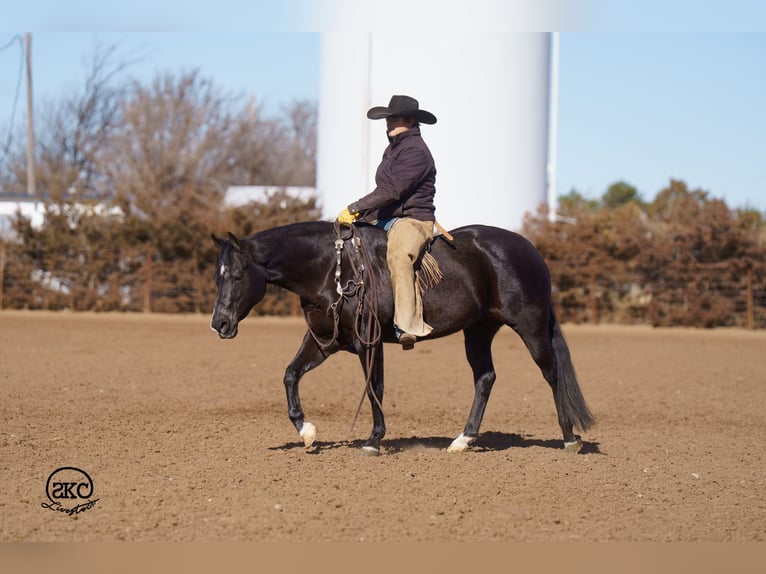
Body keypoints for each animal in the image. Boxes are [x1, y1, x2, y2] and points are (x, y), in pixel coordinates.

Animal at [210, 220, 594, 455]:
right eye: (218, 275)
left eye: (239, 275)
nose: (219, 324)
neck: (333, 269)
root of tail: (530, 250)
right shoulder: (323, 342)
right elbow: (290, 374)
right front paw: (306, 431)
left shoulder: (369, 341)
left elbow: (374, 387)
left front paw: (373, 440)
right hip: (478, 331)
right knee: (485, 378)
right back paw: (463, 439)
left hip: (530, 327)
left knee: (552, 374)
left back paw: (569, 437)